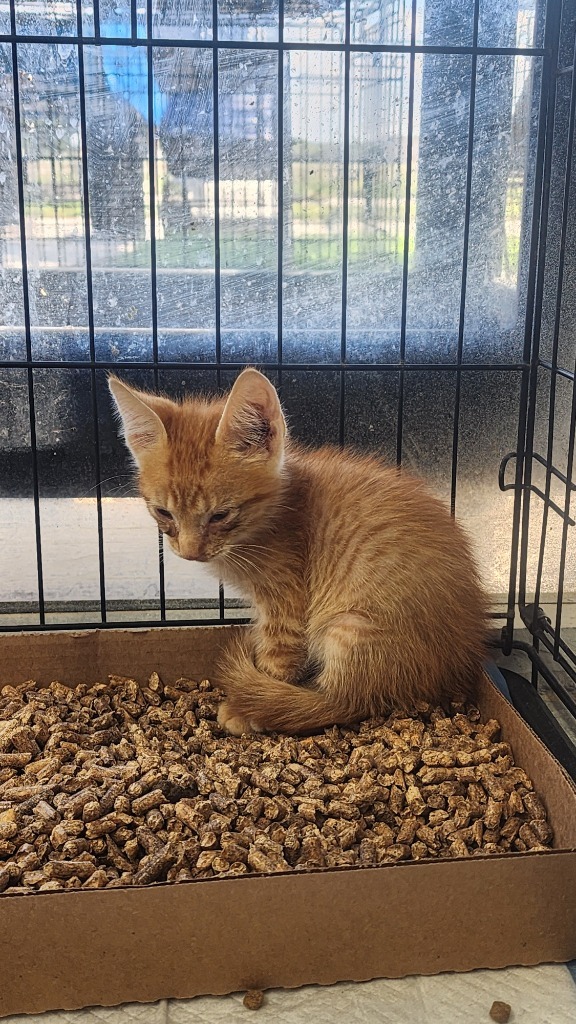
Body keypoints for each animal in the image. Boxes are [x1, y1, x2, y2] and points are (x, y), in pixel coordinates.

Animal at [107, 368, 483, 737]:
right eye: (163, 513)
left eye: (220, 515)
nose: (189, 553)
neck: (271, 516)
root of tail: (453, 667)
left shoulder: (286, 598)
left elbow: (278, 658)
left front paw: (249, 706)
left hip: (350, 626)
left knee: (343, 702)